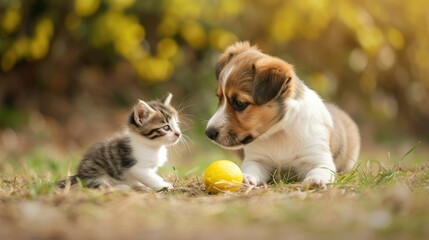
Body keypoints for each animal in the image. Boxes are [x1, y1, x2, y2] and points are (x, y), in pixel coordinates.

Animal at [206, 41, 360, 189]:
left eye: (240, 103)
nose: (209, 133)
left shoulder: (319, 158)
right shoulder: (258, 159)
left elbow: (320, 170)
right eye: (219, 98)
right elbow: (251, 169)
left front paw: (315, 180)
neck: (279, 133)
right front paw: (245, 177)